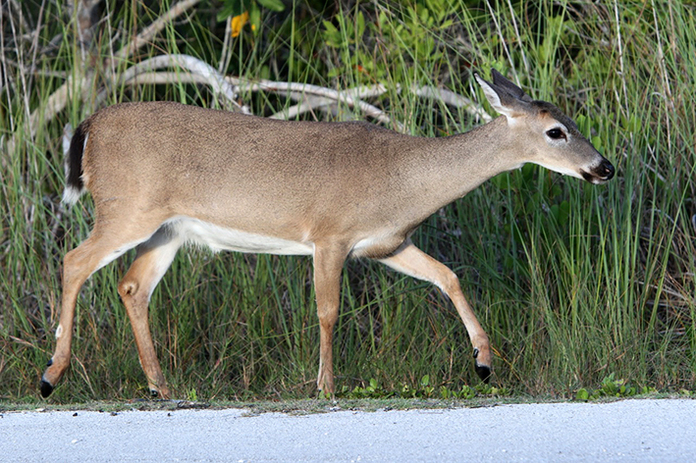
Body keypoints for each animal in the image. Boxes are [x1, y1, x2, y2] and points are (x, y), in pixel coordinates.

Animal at [40, 70, 612, 400]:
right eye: (555, 131)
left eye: (572, 120)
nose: (605, 167)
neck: (402, 180)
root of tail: (89, 125)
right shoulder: (330, 233)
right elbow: (329, 311)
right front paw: (326, 386)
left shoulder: (387, 243)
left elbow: (447, 276)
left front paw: (484, 363)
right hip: (126, 209)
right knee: (73, 261)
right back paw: (51, 375)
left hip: (169, 230)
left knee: (132, 285)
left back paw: (161, 386)